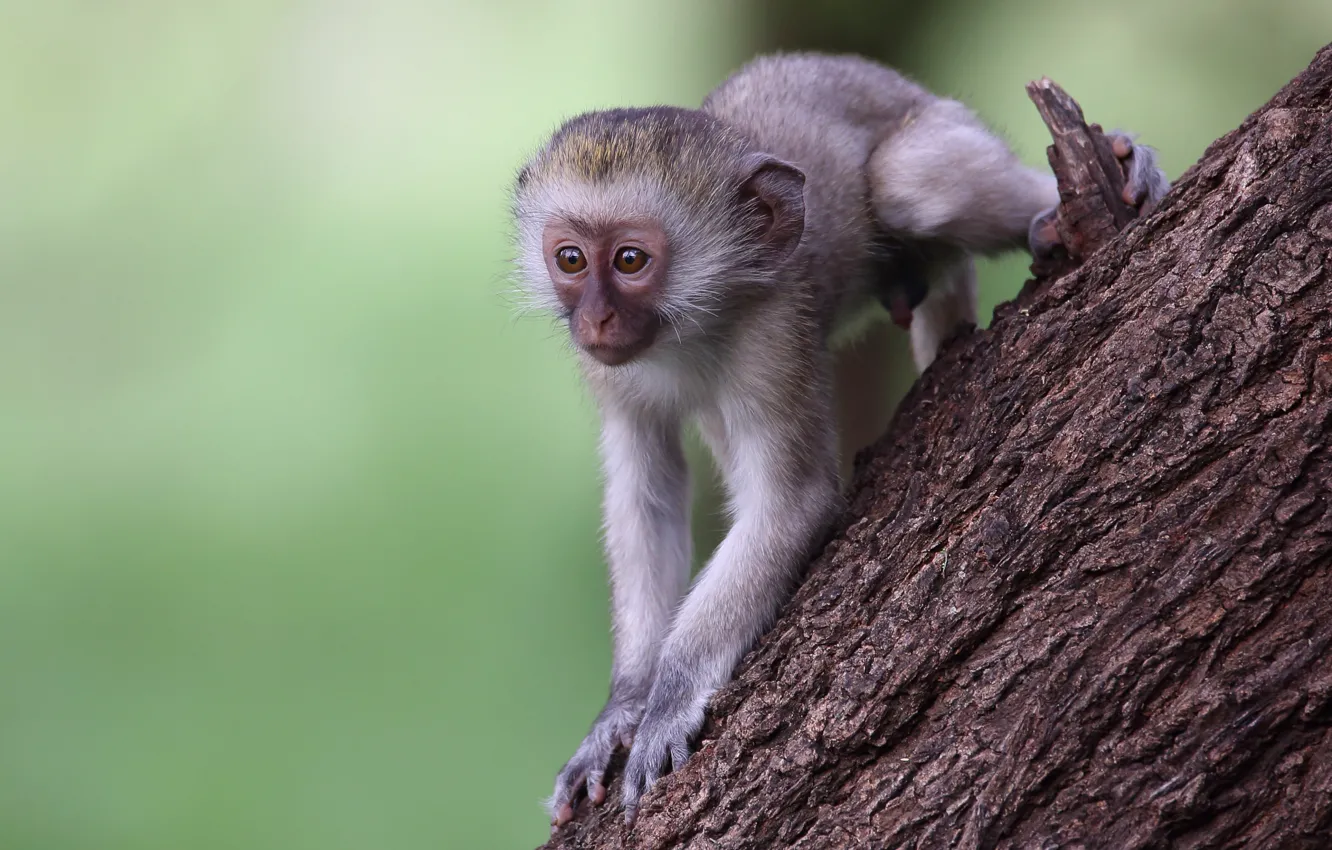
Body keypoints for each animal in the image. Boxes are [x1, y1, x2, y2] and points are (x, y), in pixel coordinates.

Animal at [510, 52, 1169, 826]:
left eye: (632, 261)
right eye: (572, 261)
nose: (596, 320)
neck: (689, 330)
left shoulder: (770, 334)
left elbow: (791, 503)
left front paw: (669, 698)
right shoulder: (609, 371)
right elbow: (649, 499)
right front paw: (623, 705)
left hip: (939, 125)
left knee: (909, 180)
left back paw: (1092, 182)